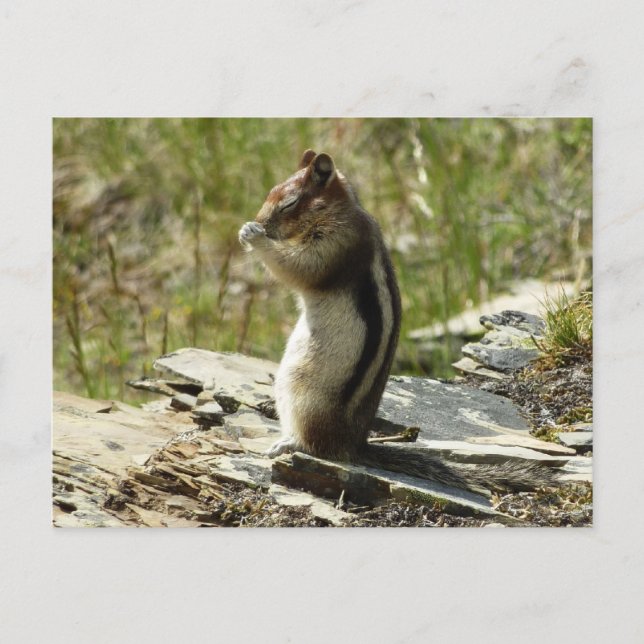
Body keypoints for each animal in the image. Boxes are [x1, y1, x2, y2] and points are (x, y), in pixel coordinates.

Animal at [239, 150, 557, 494]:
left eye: (289, 203)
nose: (260, 222)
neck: (339, 211)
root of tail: (353, 445)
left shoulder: (336, 243)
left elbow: (299, 267)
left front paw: (254, 236)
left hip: (301, 394)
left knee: (315, 446)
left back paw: (288, 444)